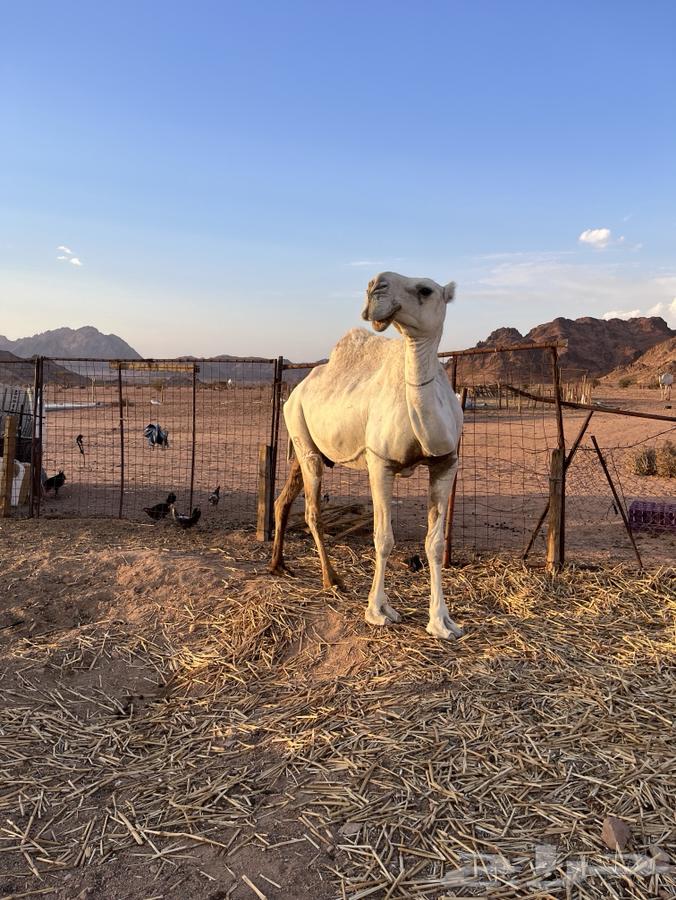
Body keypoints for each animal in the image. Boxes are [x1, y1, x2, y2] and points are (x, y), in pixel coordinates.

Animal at [270, 272, 464, 640]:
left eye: (426, 289)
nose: (376, 284)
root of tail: (294, 391)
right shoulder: (380, 462)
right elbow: (383, 538)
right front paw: (378, 611)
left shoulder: (446, 463)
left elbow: (434, 543)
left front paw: (442, 622)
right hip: (303, 436)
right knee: (313, 512)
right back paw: (332, 580)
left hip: (303, 444)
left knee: (282, 499)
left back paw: (277, 564)